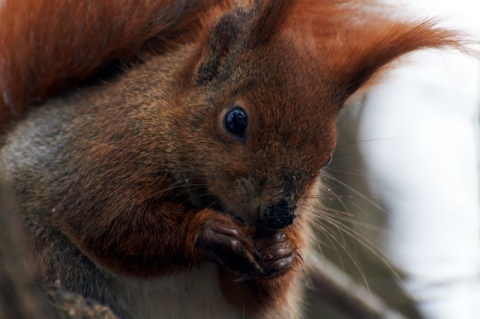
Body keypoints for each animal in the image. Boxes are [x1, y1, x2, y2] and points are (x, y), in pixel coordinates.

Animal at [0, 0, 462, 319]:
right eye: (236, 119)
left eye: (329, 156)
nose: (280, 214)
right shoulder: (98, 152)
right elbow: (112, 221)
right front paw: (209, 232)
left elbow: (252, 296)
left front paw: (280, 255)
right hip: (45, 251)